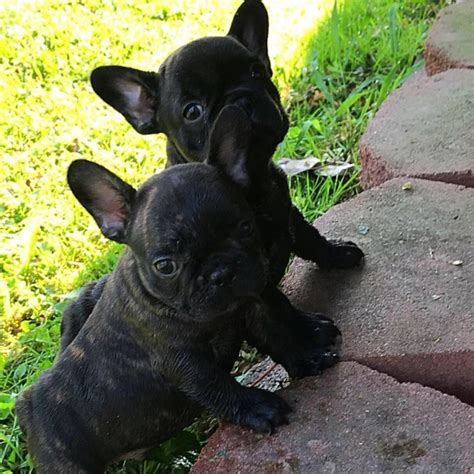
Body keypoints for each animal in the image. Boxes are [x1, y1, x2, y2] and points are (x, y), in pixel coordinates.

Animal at [15, 107, 308, 474]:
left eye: (246, 227)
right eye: (165, 265)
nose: (221, 273)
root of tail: (26, 407)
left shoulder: (249, 307)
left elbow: (276, 333)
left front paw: (308, 355)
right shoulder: (185, 364)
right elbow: (218, 386)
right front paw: (257, 407)